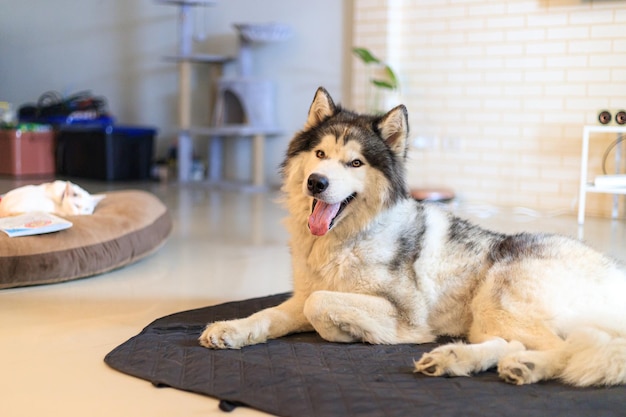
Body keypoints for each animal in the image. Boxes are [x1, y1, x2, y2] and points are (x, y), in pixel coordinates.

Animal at [200, 86, 624, 386]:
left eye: (355, 163)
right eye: (320, 155)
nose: (316, 183)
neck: (347, 240)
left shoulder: (406, 316)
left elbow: (319, 305)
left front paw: (345, 333)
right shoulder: (300, 295)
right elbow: (269, 314)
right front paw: (230, 329)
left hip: (498, 294)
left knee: (568, 348)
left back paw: (527, 366)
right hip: (487, 316)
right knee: (515, 343)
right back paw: (454, 360)